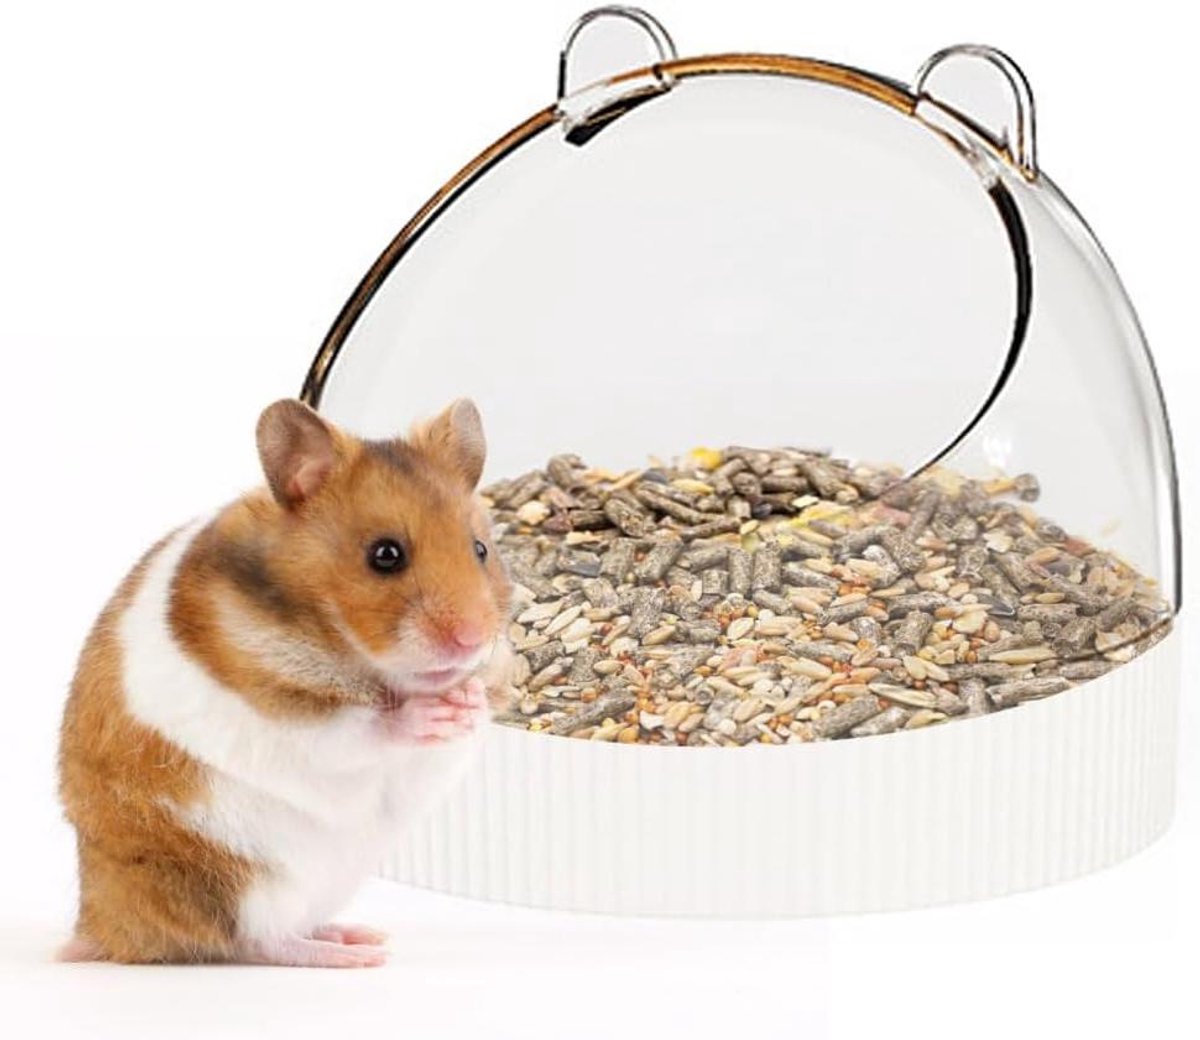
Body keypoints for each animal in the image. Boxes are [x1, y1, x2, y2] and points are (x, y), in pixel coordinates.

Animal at [57, 398, 512, 967]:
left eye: (481, 550)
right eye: (385, 554)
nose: (472, 639)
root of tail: (101, 928)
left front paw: (469, 700)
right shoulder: (290, 721)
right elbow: (361, 729)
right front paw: (428, 710)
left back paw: (357, 935)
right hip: (241, 879)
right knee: (258, 939)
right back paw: (354, 957)